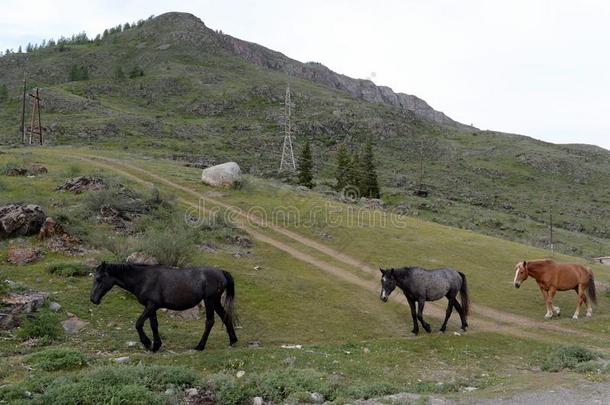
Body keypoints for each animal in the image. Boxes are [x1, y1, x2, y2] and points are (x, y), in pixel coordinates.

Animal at [90, 262, 238, 350]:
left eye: (99, 278)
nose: (93, 299)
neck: (143, 279)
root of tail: (221, 272)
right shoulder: (152, 307)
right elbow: (153, 325)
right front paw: (156, 345)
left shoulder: (150, 306)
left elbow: (138, 324)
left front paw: (147, 342)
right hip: (215, 301)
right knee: (225, 317)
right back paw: (233, 341)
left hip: (209, 301)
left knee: (210, 321)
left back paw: (200, 346)